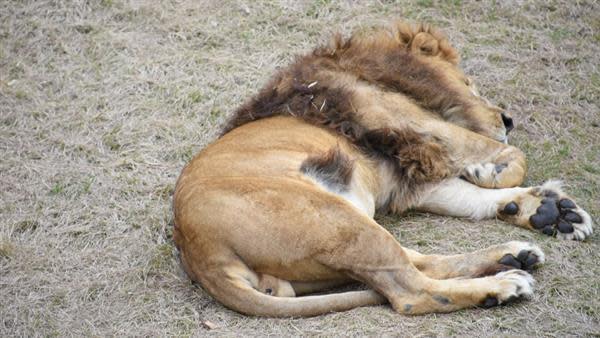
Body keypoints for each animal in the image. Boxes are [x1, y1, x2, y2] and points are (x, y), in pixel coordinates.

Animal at [171, 21, 592, 316]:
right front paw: (493, 173)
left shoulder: (410, 175)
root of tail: (199, 253)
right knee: (411, 292)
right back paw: (504, 285)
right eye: (470, 83)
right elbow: (512, 159)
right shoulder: (420, 128)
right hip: (338, 221)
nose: (508, 119)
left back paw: (514, 254)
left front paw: (548, 211)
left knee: (420, 262)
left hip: (348, 228)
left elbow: (471, 197)